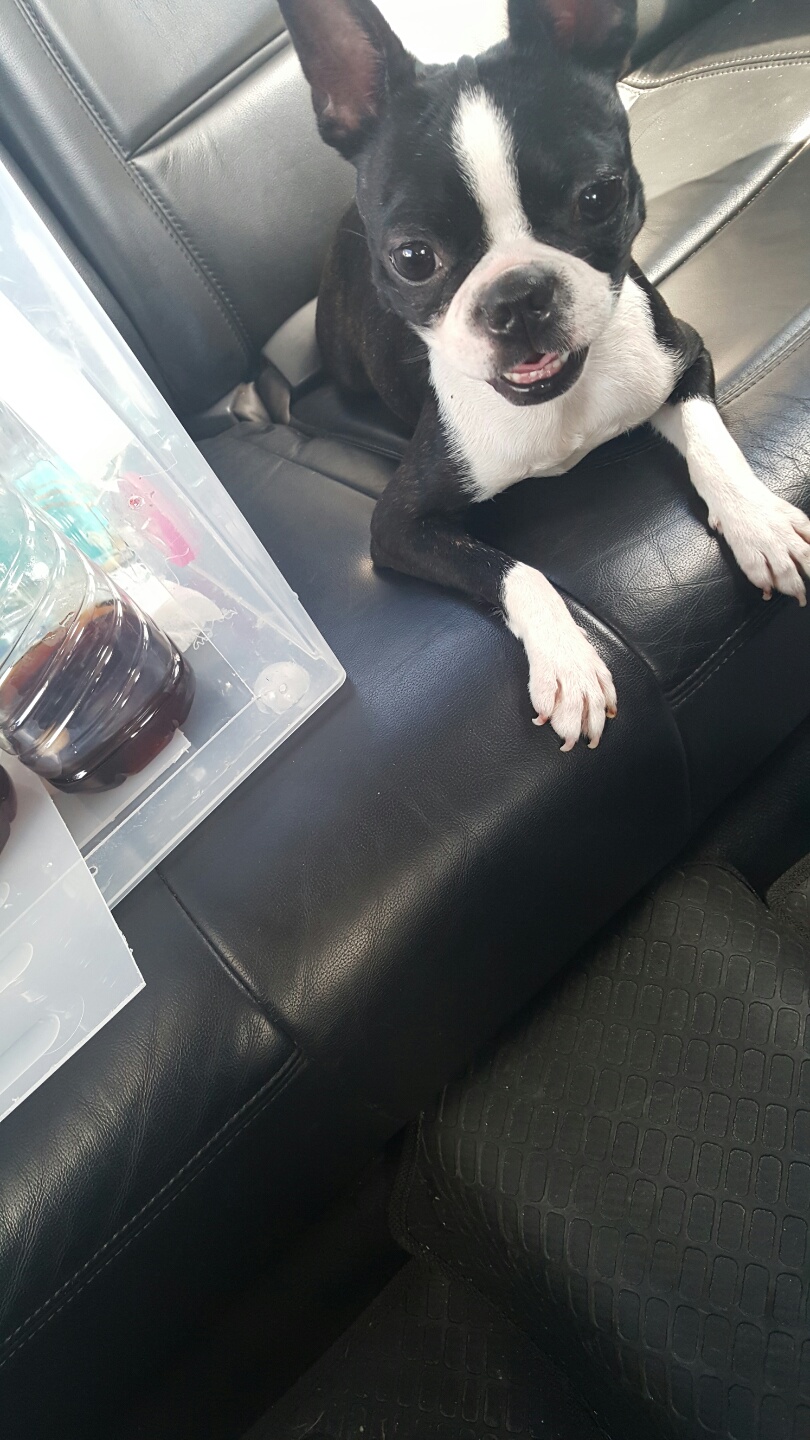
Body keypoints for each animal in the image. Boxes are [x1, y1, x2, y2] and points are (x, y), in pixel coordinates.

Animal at [278, 0, 810, 751]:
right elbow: (512, 569)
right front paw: (568, 663)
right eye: (413, 257)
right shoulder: (398, 523)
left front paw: (759, 522)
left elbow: (712, 443)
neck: (559, 406)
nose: (517, 296)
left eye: (598, 197)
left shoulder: (685, 356)